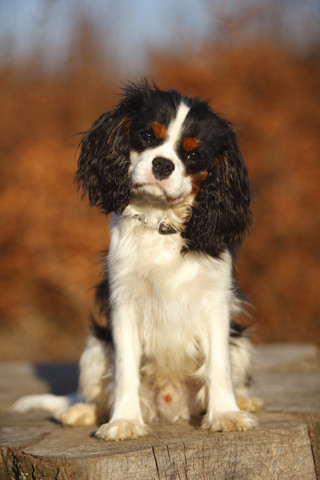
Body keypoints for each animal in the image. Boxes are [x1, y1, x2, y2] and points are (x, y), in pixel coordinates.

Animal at [13, 80, 262, 440]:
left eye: (193, 154)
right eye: (146, 136)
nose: (162, 164)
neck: (161, 224)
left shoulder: (215, 303)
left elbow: (218, 367)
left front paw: (226, 414)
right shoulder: (124, 306)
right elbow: (125, 371)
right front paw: (125, 421)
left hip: (240, 344)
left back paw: (244, 401)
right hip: (95, 348)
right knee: (98, 392)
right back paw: (82, 411)